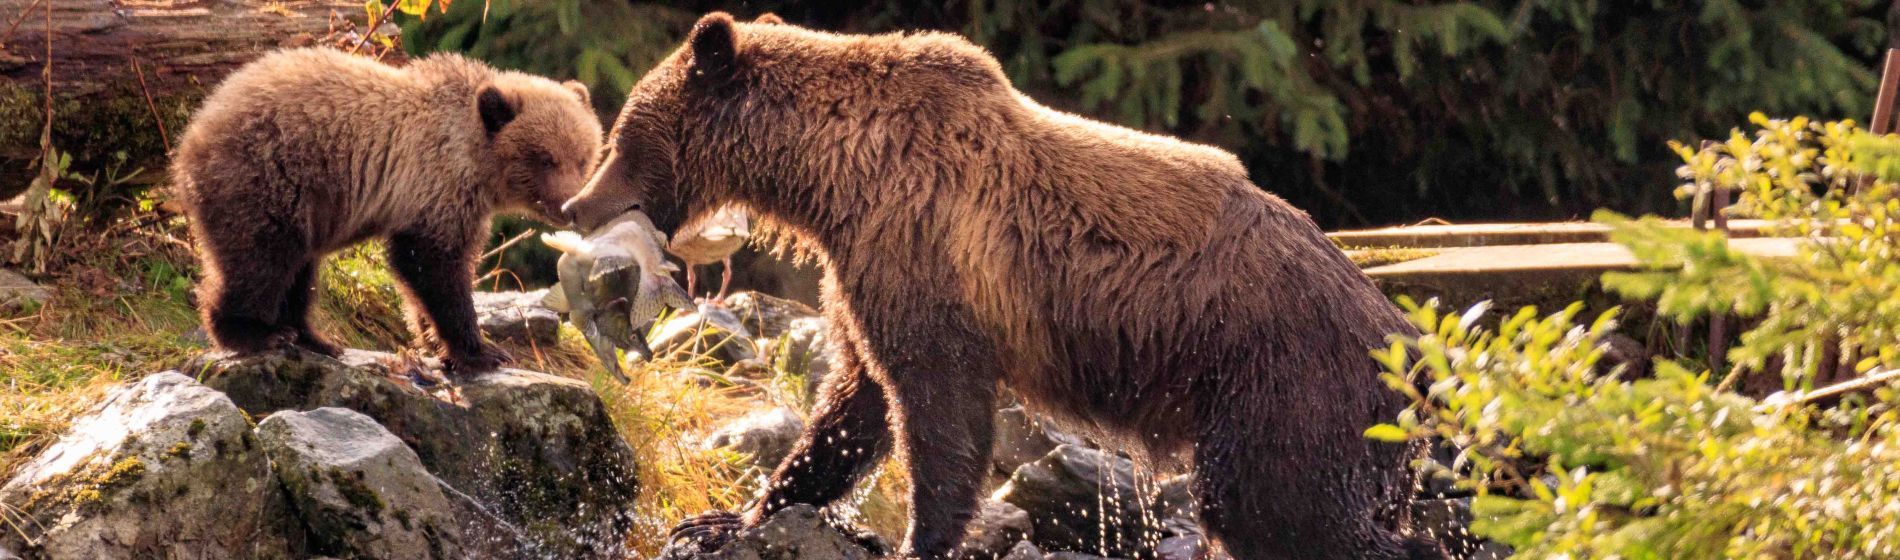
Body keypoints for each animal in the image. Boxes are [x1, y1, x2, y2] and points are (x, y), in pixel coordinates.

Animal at [173, 47, 600, 373]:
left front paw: (435, 341)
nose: (570, 206)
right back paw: (254, 332)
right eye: (545, 159)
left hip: (306, 206)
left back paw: (313, 337)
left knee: (299, 269)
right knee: (259, 260)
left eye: (582, 157)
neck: (477, 160)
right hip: (268, 176)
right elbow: (433, 265)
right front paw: (482, 350)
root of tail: (193, 131)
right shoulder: (436, 184)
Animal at [562, 13, 1436, 560]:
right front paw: (729, 519)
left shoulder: (922, 251)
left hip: (1284, 379)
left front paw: (920, 539)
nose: (578, 205)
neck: (834, 177)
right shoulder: (865, 267)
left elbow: (935, 404)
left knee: (1276, 502)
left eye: (625, 132)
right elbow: (852, 405)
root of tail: (1409, 335)